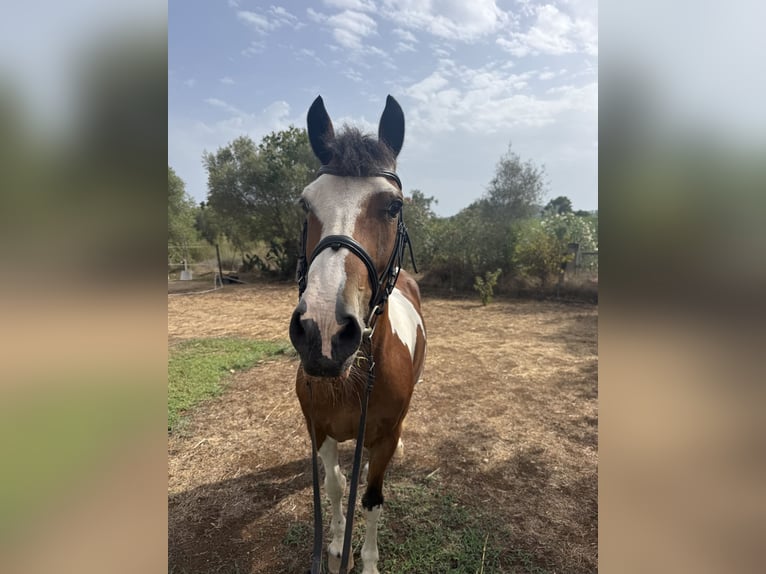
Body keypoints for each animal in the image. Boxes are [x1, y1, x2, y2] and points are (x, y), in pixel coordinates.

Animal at [289, 95, 427, 574]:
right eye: (305, 204)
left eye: (393, 207)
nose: (324, 331)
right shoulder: (319, 429)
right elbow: (333, 485)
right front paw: (334, 545)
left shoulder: (380, 440)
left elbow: (369, 499)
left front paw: (365, 561)